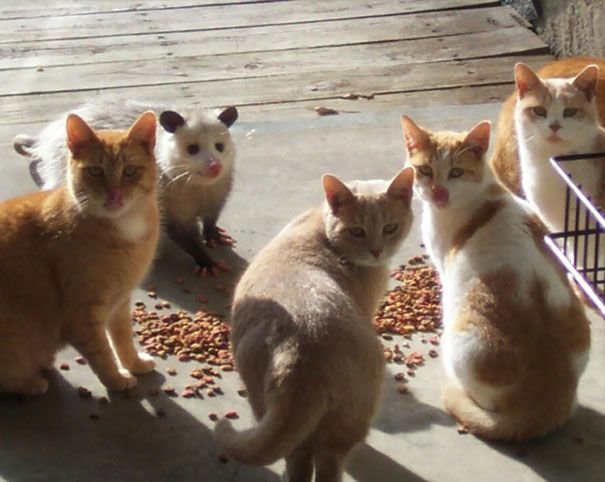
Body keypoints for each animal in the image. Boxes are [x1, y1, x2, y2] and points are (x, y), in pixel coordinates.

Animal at [0, 111, 160, 394]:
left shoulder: (120, 302)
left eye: (129, 171)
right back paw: (31, 383)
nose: (114, 195)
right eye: (95, 172)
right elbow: (103, 354)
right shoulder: (81, 317)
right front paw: (117, 379)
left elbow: (123, 339)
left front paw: (133, 363)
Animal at [212, 168, 416, 480]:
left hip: (267, 401)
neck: (320, 225)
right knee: (328, 463)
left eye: (390, 227)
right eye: (356, 231)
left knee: (298, 457)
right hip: (349, 422)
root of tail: (302, 350)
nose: (377, 251)